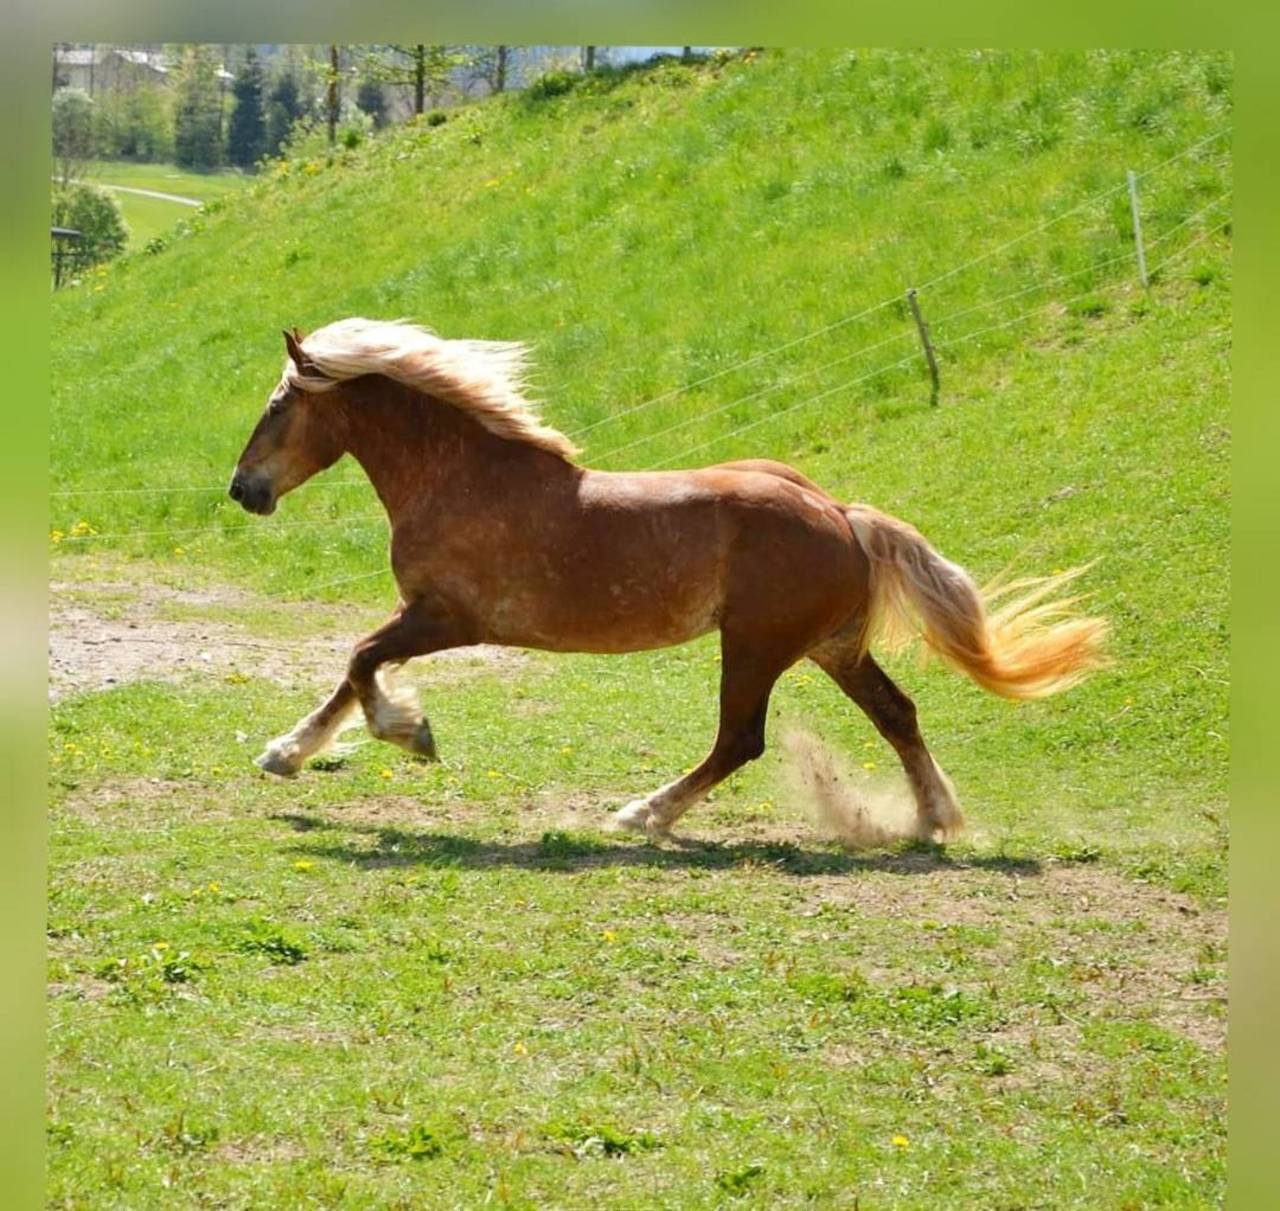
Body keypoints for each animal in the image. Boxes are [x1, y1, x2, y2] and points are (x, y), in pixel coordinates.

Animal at [225, 316, 1105, 834]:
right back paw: (931, 820)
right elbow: (350, 672)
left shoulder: (449, 617)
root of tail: (839, 512)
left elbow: (361, 661)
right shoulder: (424, 614)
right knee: (897, 713)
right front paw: (285, 753)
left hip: (755, 646)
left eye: (276, 406)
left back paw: (642, 813)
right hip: (832, 646)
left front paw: (410, 733)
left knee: (740, 740)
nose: (243, 489)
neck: (461, 476)